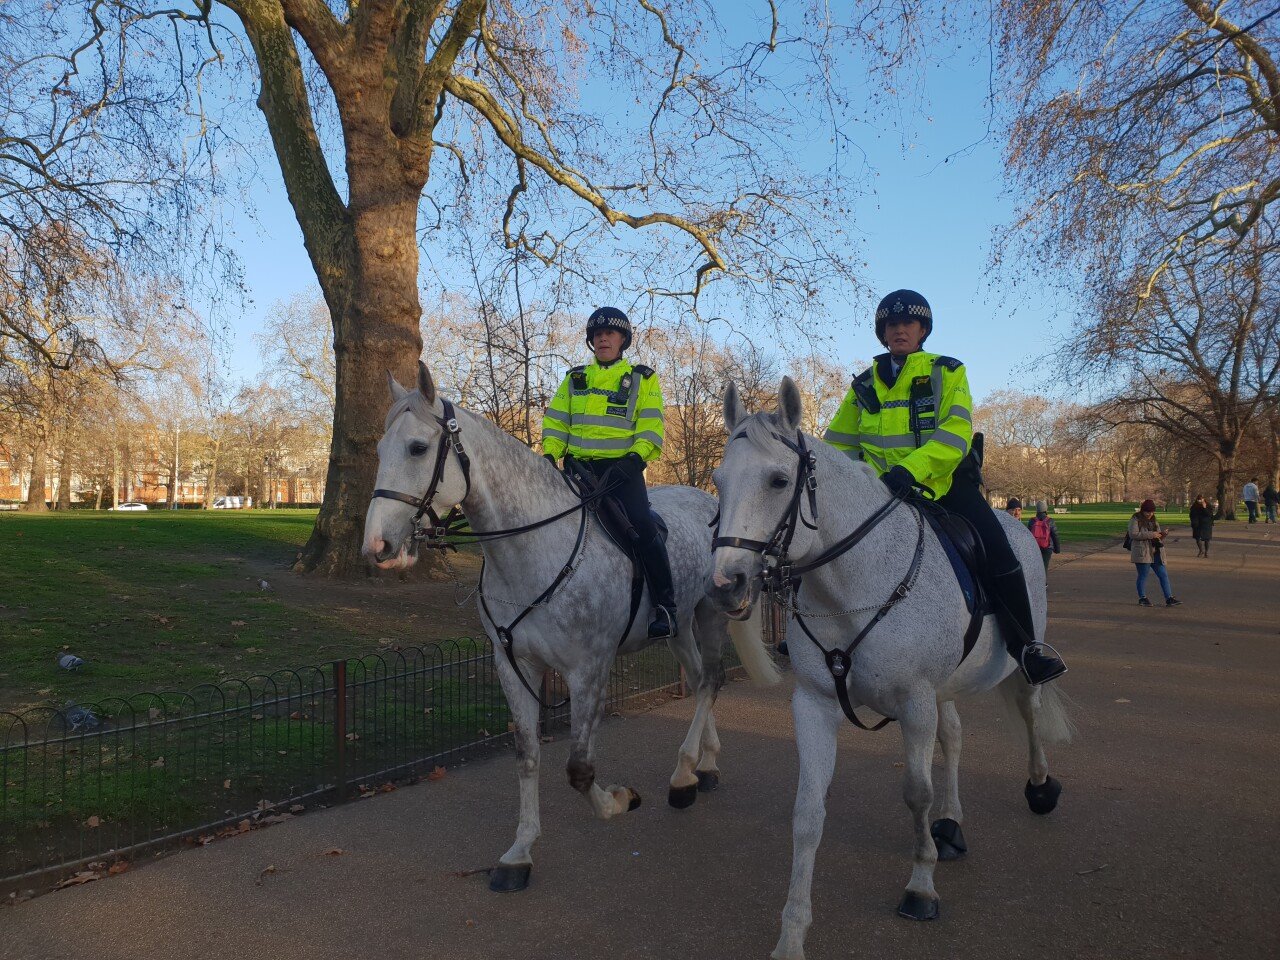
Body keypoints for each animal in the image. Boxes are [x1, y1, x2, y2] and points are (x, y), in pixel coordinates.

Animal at [360, 366, 778, 896]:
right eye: (378, 450)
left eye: (416, 448)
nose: (377, 546)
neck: (536, 550)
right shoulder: (515, 666)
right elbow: (527, 755)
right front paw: (519, 853)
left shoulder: (588, 669)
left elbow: (580, 768)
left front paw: (617, 800)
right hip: (679, 628)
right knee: (703, 679)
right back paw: (703, 765)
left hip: (710, 616)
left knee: (712, 681)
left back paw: (685, 776)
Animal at [706, 381, 1075, 960]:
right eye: (719, 482)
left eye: (778, 480)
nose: (726, 584)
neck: (851, 585)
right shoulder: (814, 705)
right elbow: (807, 813)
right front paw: (792, 932)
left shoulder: (915, 703)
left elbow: (915, 793)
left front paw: (920, 886)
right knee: (955, 736)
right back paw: (950, 823)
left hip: (1018, 665)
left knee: (1031, 714)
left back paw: (1039, 788)